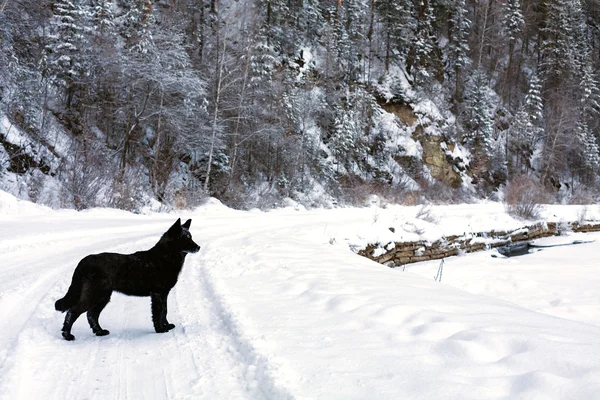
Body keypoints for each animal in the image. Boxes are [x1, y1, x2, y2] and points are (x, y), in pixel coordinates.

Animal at [54, 219, 199, 340]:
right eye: (184, 238)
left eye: (190, 237)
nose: (198, 247)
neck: (165, 256)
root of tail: (84, 260)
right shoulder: (158, 294)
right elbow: (159, 312)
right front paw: (160, 330)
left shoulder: (164, 294)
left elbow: (165, 311)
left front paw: (166, 326)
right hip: (94, 295)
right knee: (73, 311)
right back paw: (67, 335)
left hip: (103, 297)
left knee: (91, 315)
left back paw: (100, 332)